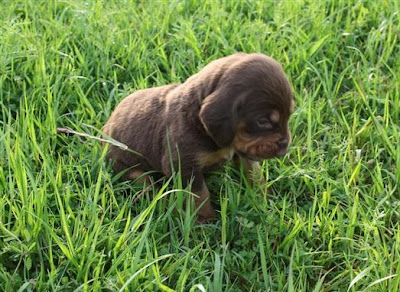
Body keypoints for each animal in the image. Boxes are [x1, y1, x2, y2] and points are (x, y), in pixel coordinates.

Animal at [103, 53, 294, 221]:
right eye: (263, 122)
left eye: (289, 115)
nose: (284, 146)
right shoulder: (184, 166)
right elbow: (200, 195)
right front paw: (206, 222)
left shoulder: (243, 154)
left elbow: (255, 174)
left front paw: (267, 198)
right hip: (131, 172)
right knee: (147, 187)